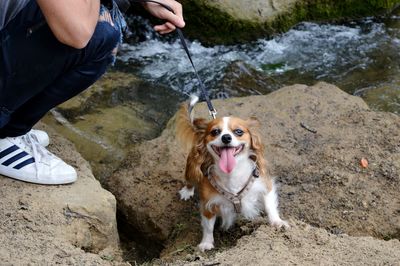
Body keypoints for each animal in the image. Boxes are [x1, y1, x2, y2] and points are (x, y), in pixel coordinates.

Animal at [177, 95, 290, 251]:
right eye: (215, 132)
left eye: (238, 132)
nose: (226, 137)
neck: (232, 173)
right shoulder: (208, 203)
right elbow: (208, 226)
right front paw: (206, 243)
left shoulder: (264, 185)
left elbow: (270, 206)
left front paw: (277, 222)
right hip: (191, 168)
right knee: (190, 180)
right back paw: (187, 191)